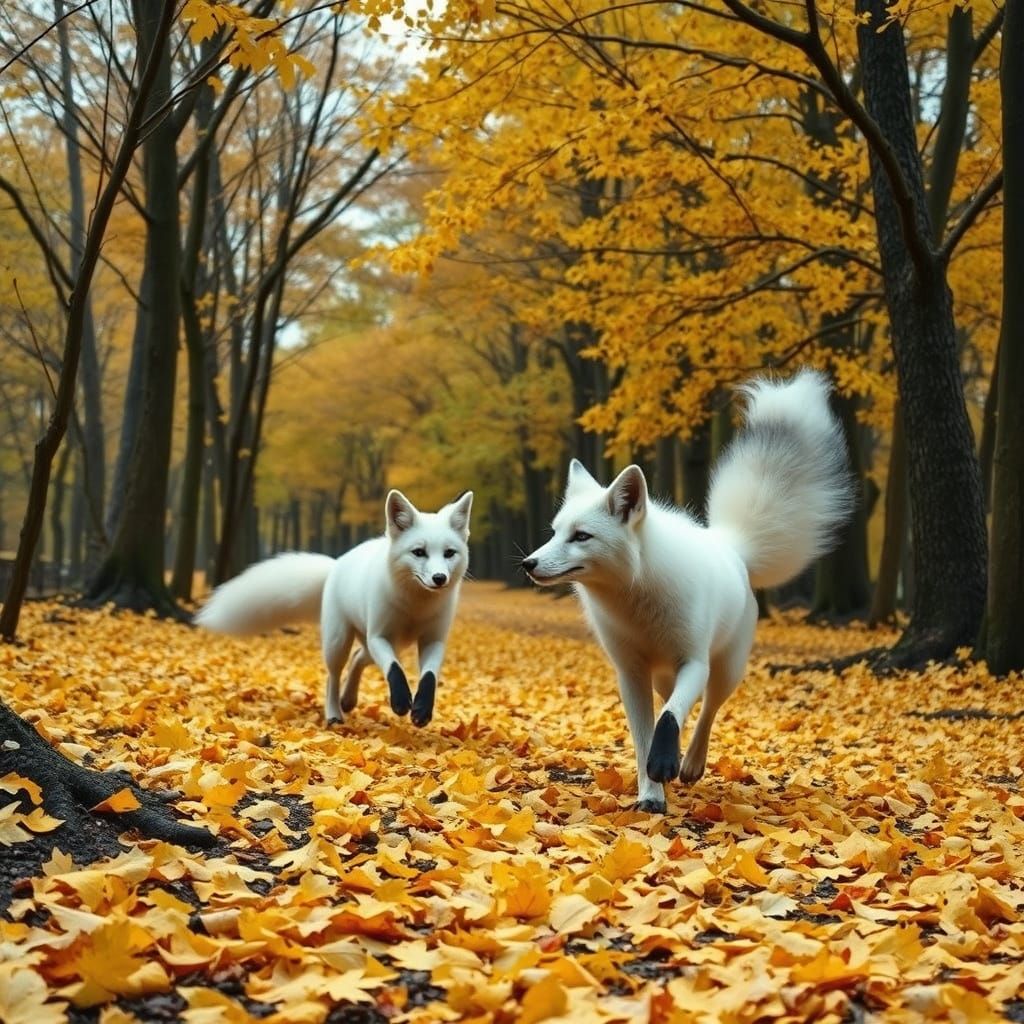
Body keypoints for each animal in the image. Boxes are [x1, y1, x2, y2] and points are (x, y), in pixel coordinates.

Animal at [195, 490, 473, 728]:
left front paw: (422, 710)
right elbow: (394, 670)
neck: (416, 607)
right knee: (333, 676)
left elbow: (429, 678)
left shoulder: (433, 640)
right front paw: (400, 701)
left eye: (449, 553)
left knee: (358, 658)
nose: (439, 578)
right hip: (340, 641)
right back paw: (334, 714)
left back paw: (348, 700)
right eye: (419, 552)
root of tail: (337, 563)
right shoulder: (379, 635)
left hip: (384, 644)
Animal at [522, 370, 853, 812]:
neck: (636, 602)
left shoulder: (693, 661)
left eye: (581, 536)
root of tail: (730, 544)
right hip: (665, 677)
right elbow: (645, 733)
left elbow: (669, 719)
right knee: (680, 705)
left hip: (725, 669)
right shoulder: (631, 673)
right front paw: (651, 792)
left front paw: (665, 765)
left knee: (708, 709)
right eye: (555, 532)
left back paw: (691, 762)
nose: (528, 564)